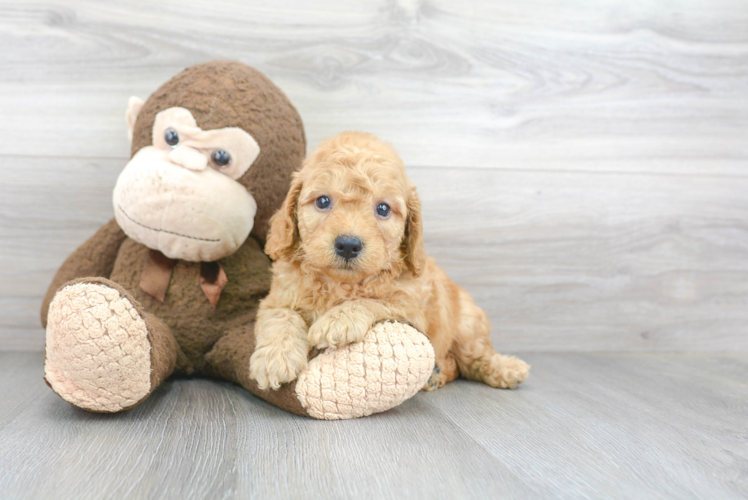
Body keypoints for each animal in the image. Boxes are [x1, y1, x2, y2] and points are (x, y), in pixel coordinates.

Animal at [248, 131, 528, 392]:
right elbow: (281, 317)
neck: (340, 284)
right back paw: (436, 375)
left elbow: (374, 301)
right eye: (323, 201)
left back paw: (506, 369)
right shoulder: (278, 298)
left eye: (382, 209)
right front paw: (274, 359)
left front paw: (338, 320)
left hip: (468, 324)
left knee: (474, 358)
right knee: (456, 365)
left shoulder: (410, 309)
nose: (348, 245)